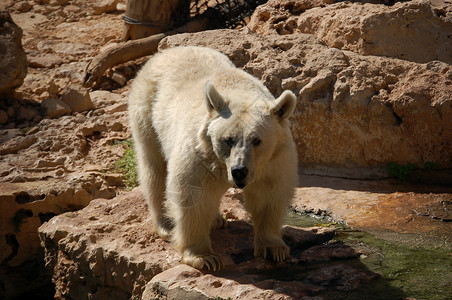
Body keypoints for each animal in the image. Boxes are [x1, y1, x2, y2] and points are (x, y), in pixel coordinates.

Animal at [128, 45, 296, 270]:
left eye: (256, 140)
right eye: (228, 139)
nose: (239, 171)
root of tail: (165, 52)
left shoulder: (274, 157)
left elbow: (268, 193)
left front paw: (274, 248)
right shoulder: (200, 153)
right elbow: (193, 195)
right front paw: (205, 257)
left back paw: (217, 220)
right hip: (148, 114)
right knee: (154, 169)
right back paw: (166, 225)